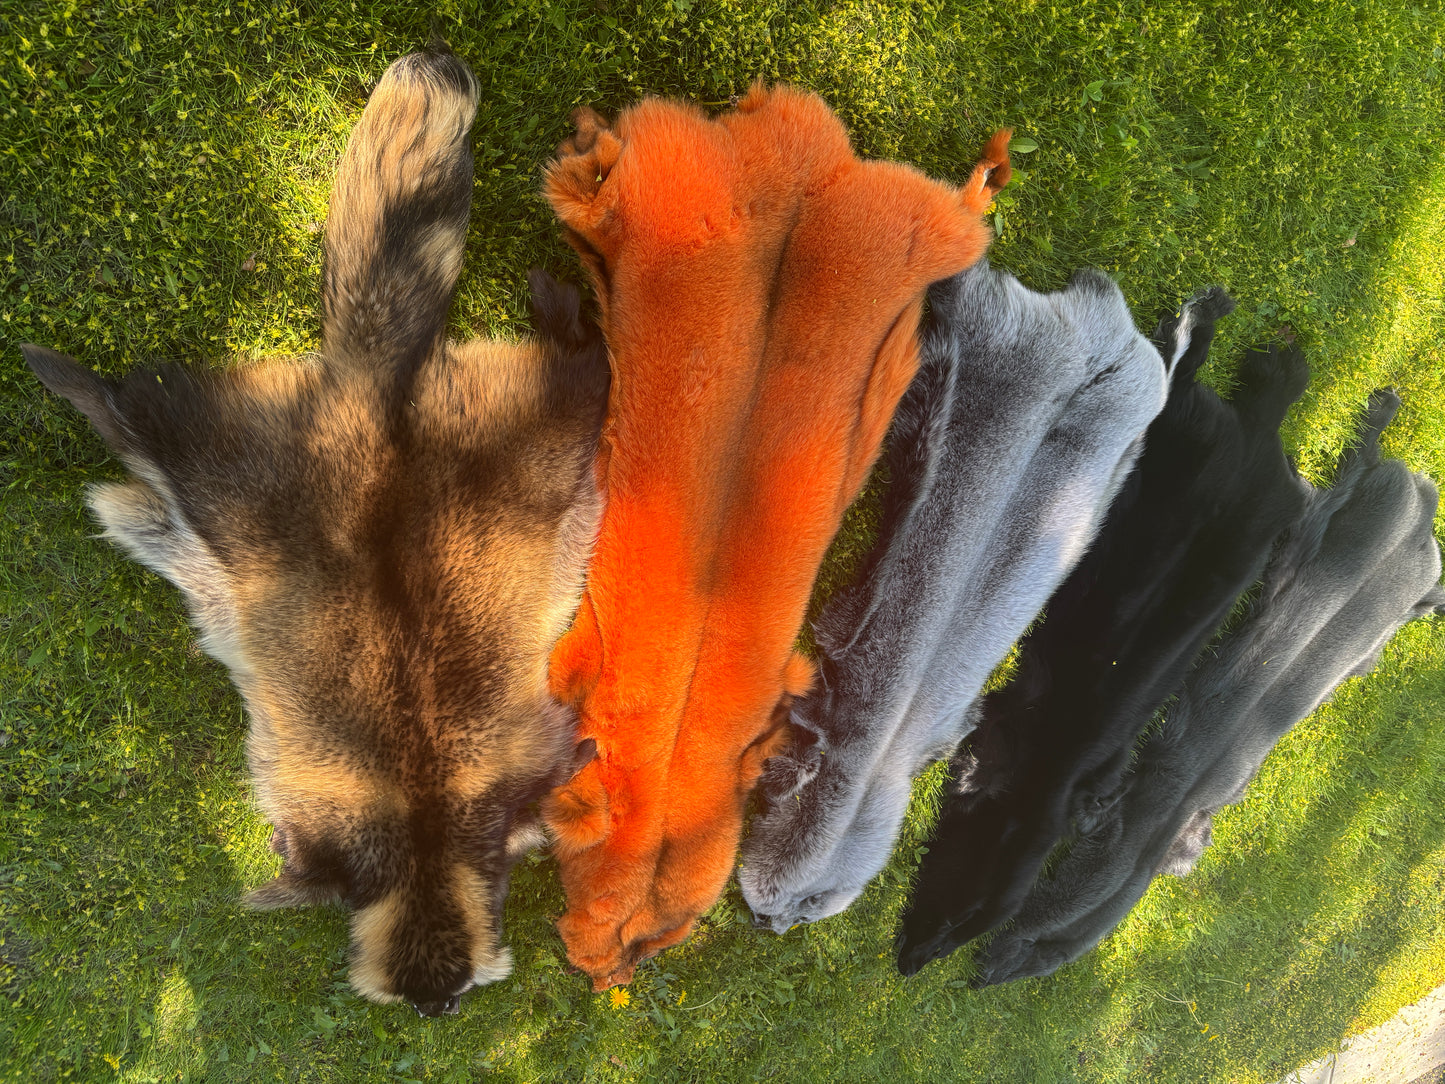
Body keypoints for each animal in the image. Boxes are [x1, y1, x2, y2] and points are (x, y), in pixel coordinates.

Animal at [23, 48, 607, 1016]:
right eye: (429, 997)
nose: (440, 1010)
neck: (423, 851)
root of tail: (379, 401)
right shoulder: (468, 799)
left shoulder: (495, 795)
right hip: (297, 474)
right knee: (156, 419)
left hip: (484, 445)